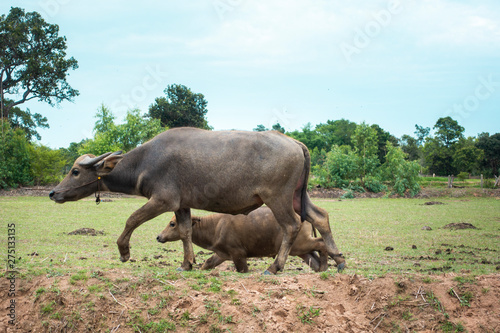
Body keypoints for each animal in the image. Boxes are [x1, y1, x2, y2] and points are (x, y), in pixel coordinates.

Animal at [49, 127, 344, 272]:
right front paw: (186, 264)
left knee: (292, 226)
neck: (146, 160)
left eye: (75, 171)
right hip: (297, 196)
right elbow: (185, 231)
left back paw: (275, 266)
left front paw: (124, 252)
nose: (53, 192)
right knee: (321, 216)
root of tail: (295, 143)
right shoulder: (182, 205)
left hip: (278, 198)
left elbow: (132, 218)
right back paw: (338, 259)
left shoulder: (163, 200)